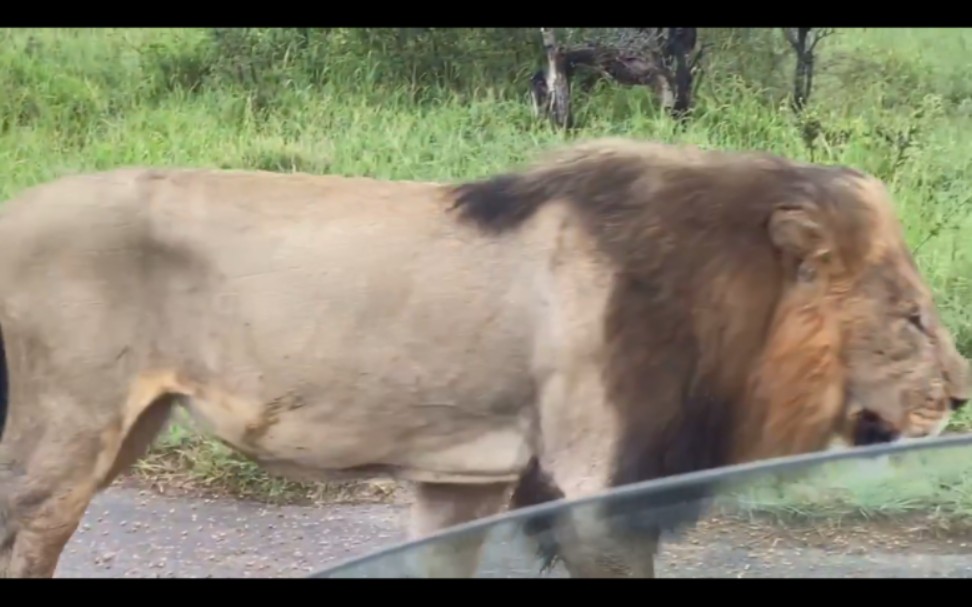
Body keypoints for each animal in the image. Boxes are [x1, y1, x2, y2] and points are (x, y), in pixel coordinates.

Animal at [0, 138, 968, 580]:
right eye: (914, 318)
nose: (960, 396)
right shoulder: (594, 485)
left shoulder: (459, 477)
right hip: (66, 432)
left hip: (129, 424)